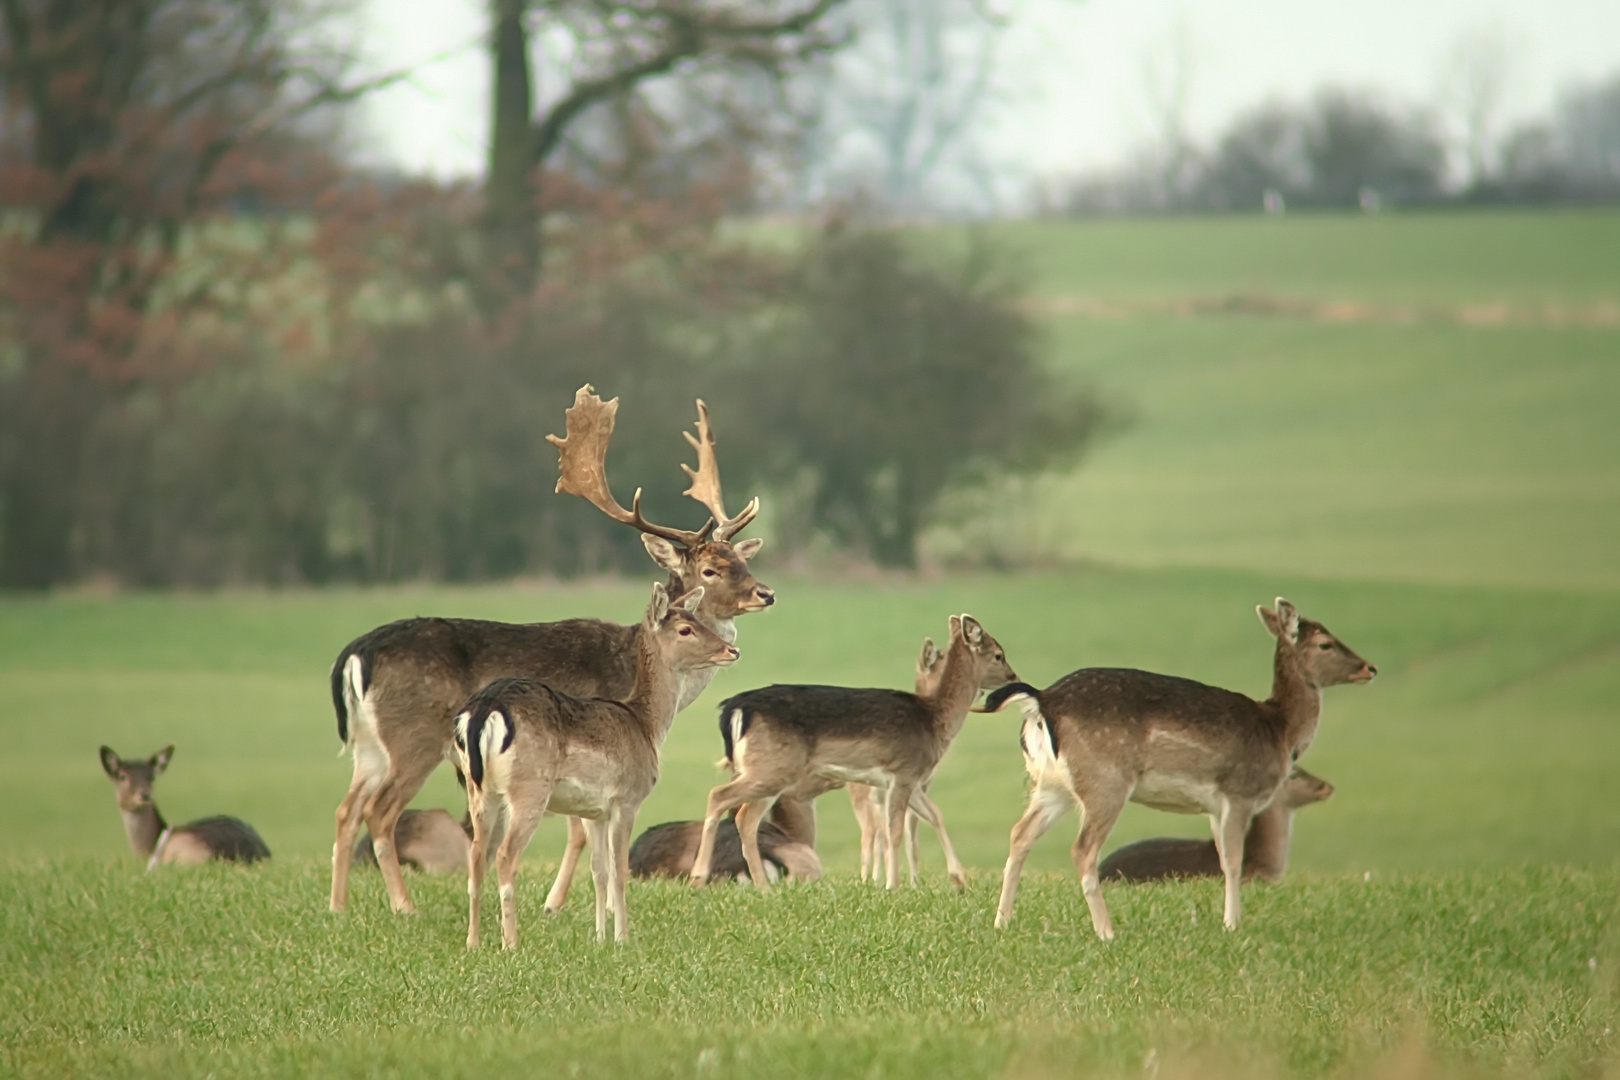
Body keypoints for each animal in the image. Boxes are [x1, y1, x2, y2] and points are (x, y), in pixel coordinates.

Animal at [450, 582, 741, 945]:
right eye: (685, 629)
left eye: (698, 619)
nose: (732, 650)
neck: (646, 726)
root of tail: (484, 709)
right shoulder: (626, 800)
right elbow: (619, 870)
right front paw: (622, 938)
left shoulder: (592, 811)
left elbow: (598, 870)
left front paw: (600, 937)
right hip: (529, 788)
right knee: (505, 855)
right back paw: (511, 943)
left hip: (478, 789)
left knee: (476, 855)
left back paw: (473, 942)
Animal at [690, 612, 1017, 893]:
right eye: (998, 654)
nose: (1013, 675)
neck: (933, 720)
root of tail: (734, 708)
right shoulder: (902, 771)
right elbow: (894, 829)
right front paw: (892, 886)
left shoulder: (911, 779)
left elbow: (935, 815)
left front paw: (959, 880)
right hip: (773, 767)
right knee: (719, 797)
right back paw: (699, 877)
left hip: (767, 770)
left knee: (744, 817)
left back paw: (761, 886)